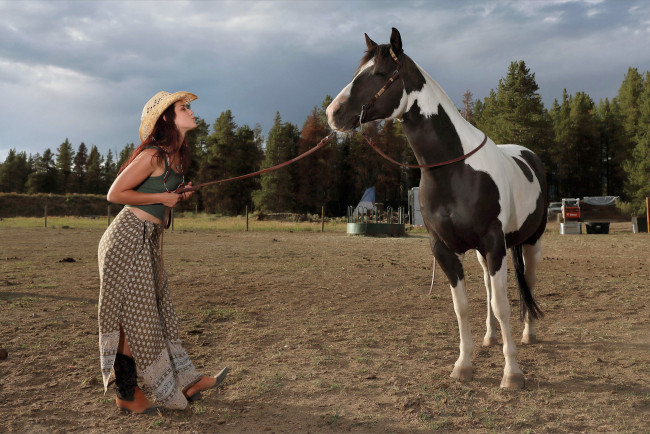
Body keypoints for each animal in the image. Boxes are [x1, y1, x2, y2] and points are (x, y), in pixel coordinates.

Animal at [326, 28, 544, 390]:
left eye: (380, 73)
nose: (333, 113)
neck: (454, 170)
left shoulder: (494, 243)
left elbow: (502, 305)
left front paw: (512, 373)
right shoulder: (444, 248)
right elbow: (463, 306)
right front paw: (464, 365)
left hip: (531, 242)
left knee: (529, 281)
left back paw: (527, 335)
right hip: (487, 254)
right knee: (489, 287)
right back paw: (489, 338)